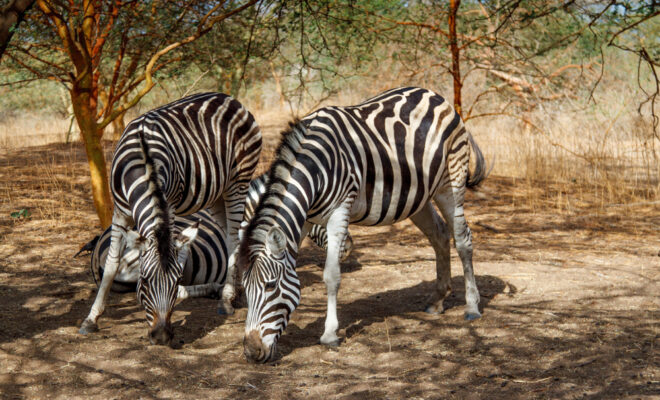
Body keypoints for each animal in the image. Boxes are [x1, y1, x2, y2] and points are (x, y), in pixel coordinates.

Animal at [78, 91, 262, 346]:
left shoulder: (170, 207)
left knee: (235, 238)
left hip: (238, 182)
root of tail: (229, 99)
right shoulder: (120, 212)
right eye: (144, 281)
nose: (161, 336)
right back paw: (234, 289)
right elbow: (113, 264)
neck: (143, 163)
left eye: (176, 282)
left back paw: (226, 299)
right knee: (227, 237)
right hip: (216, 194)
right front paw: (91, 318)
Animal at [235, 86, 488, 362]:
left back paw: (472, 306)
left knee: (462, 240)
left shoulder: (340, 210)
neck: (314, 167)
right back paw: (437, 300)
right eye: (245, 288)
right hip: (416, 197)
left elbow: (331, 275)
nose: (251, 352)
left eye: (270, 286)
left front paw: (330, 334)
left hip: (450, 183)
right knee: (440, 235)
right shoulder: (305, 219)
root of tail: (435, 95)